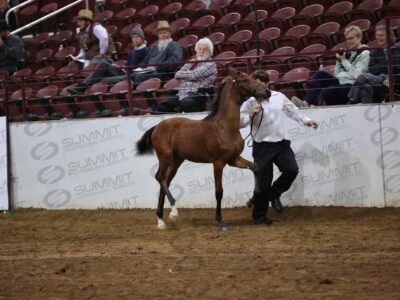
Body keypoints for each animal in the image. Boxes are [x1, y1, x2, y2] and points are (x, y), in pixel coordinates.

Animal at [135, 68, 268, 231]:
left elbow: (255, 167)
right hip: (165, 157)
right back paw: (173, 212)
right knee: (160, 177)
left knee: (165, 180)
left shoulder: (233, 159)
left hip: (177, 160)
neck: (224, 127)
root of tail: (157, 127)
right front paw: (220, 222)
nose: (267, 92)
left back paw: (161, 220)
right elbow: (219, 192)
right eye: (245, 80)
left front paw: (250, 201)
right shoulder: (218, 163)